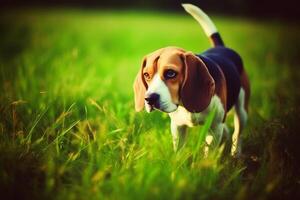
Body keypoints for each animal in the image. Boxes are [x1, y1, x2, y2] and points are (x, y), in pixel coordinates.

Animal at [133, 3, 248, 156]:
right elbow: (178, 152)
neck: (183, 105)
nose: (149, 99)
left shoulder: (214, 128)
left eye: (171, 73)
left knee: (237, 133)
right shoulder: (177, 127)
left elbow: (208, 154)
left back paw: (236, 154)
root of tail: (221, 47)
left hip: (242, 110)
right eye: (146, 75)